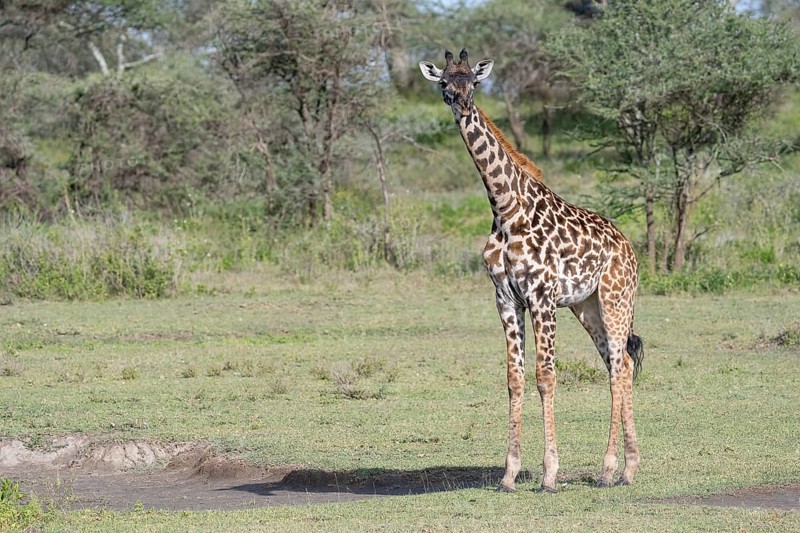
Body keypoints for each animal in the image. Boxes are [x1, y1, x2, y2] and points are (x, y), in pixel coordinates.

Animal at [419, 49, 644, 493]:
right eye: (444, 83)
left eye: (474, 82)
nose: (461, 103)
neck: (505, 208)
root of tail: (629, 248)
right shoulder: (506, 299)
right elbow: (515, 378)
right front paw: (509, 474)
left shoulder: (542, 297)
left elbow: (546, 377)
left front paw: (549, 474)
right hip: (588, 307)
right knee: (619, 365)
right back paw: (626, 469)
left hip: (615, 299)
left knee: (619, 366)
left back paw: (609, 469)